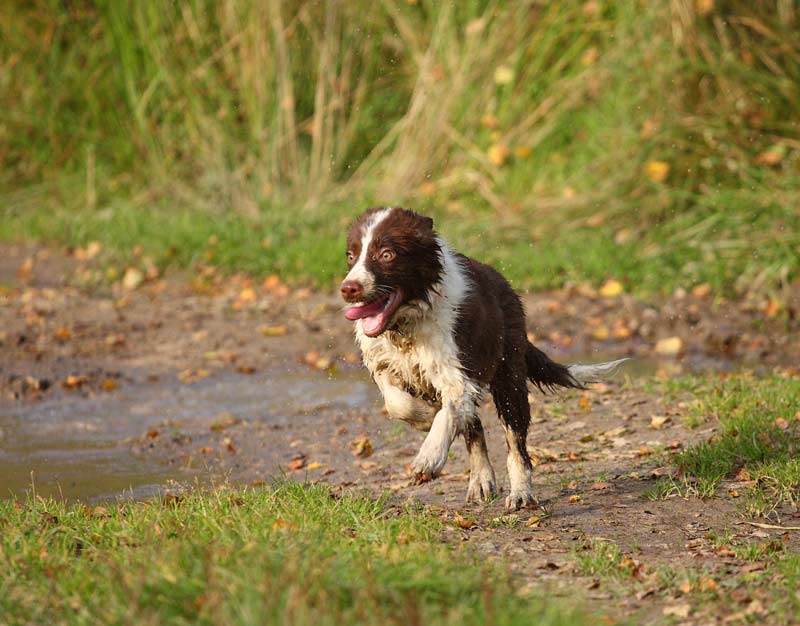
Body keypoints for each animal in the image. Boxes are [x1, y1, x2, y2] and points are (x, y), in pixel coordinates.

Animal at [338, 207, 624, 510]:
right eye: (351, 256)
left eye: (387, 254)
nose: (348, 288)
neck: (407, 323)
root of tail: (506, 286)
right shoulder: (382, 362)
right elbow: (398, 403)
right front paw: (425, 416)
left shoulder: (459, 373)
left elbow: (448, 413)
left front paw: (428, 458)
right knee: (474, 428)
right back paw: (481, 481)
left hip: (509, 378)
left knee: (516, 445)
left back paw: (520, 494)